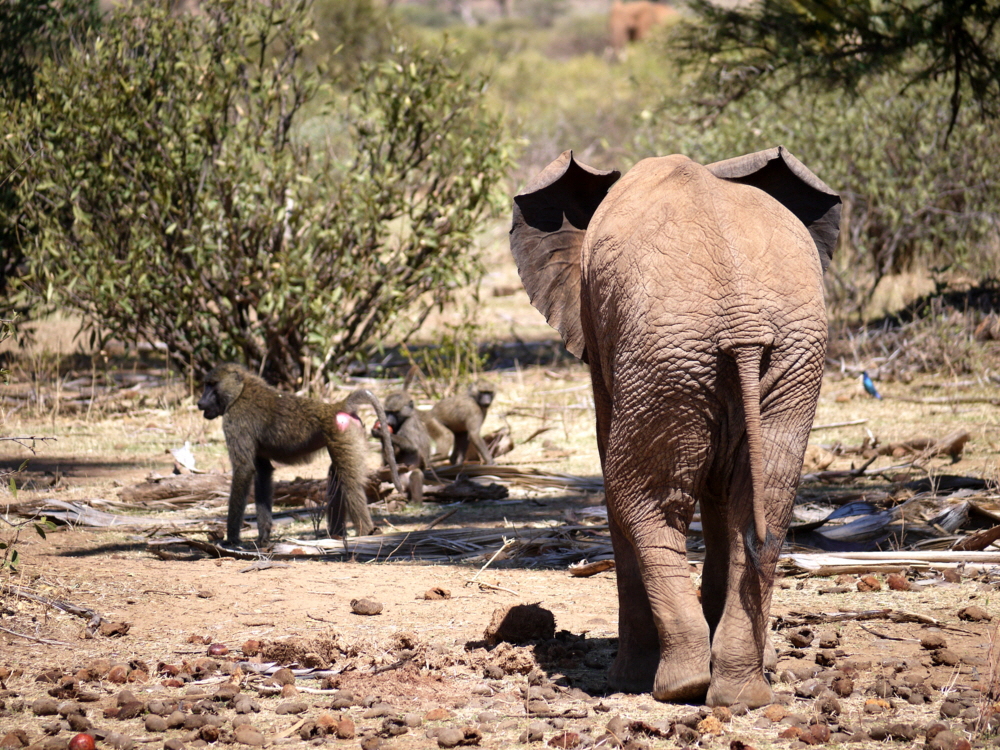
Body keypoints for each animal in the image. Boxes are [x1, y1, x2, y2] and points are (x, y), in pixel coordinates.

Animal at [508, 148, 844, 712]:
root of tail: (742, 321)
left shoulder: (599, 329)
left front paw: (624, 682)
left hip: (669, 358)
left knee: (643, 499)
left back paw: (676, 686)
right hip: (778, 359)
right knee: (764, 501)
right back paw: (741, 693)